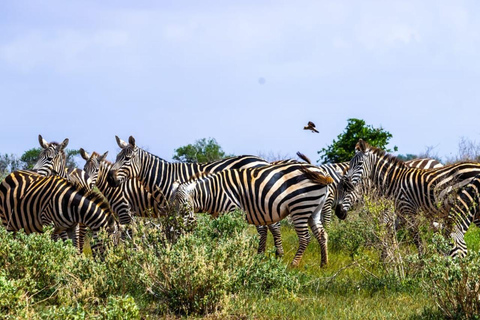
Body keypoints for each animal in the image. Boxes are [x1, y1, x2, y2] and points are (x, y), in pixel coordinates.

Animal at [172, 162, 334, 264]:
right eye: (174, 205)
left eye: (184, 205)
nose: (175, 229)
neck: (212, 193)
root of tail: (321, 171)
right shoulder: (218, 216)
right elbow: (217, 235)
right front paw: (216, 254)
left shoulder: (231, 211)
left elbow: (230, 236)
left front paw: (231, 256)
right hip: (314, 208)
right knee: (322, 234)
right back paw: (324, 264)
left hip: (300, 206)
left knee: (305, 238)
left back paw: (294, 264)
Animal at [336, 140, 480, 258]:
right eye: (350, 164)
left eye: (359, 164)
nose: (338, 212)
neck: (394, 181)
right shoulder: (400, 215)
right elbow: (389, 238)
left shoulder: (408, 212)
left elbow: (417, 241)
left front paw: (421, 265)